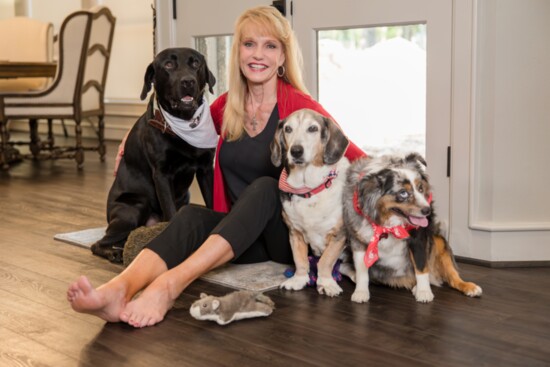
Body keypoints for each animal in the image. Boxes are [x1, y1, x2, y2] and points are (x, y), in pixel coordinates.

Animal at [91, 47, 217, 264]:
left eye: (195, 63)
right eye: (168, 65)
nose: (188, 81)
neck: (183, 125)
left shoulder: (206, 170)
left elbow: (211, 201)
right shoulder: (161, 175)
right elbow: (171, 214)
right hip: (135, 207)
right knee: (98, 243)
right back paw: (113, 253)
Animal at [272, 108, 352, 296]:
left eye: (313, 129)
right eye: (288, 129)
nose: (296, 151)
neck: (309, 188)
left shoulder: (339, 235)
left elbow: (325, 261)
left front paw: (327, 283)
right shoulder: (295, 233)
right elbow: (300, 260)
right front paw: (299, 279)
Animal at [344, 154, 484, 304]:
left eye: (421, 188)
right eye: (403, 193)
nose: (428, 211)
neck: (390, 224)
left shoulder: (418, 237)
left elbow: (421, 266)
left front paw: (423, 292)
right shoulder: (358, 239)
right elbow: (362, 269)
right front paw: (360, 292)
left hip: (439, 241)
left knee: (452, 277)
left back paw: (468, 287)